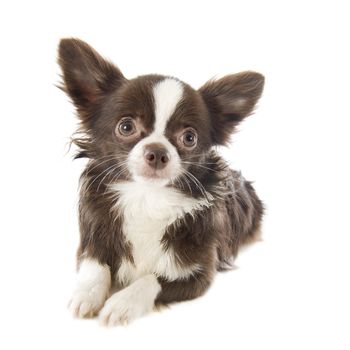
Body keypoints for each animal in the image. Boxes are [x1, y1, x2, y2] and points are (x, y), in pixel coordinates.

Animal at [58, 39, 266, 328]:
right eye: (126, 127)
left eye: (189, 137)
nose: (157, 152)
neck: (147, 198)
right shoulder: (91, 244)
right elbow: (95, 266)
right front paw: (86, 294)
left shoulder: (199, 274)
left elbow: (151, 279)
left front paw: (121, 303)